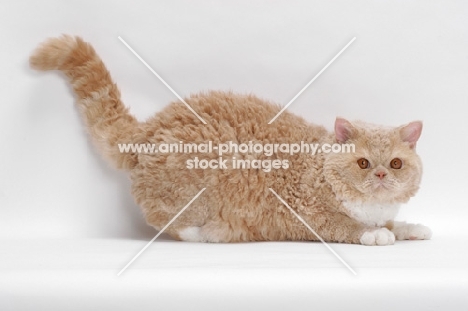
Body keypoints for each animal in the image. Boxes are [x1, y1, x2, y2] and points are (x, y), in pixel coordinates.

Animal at [29, 35, 432, 246]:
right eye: (363, 163)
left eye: (395, 163)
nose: (380, 175)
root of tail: (149, 128)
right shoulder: (311, 217)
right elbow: (351, 228)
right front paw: (376, 235)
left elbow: (395, 223)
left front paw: (410, 228)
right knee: (163, 218)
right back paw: (203, 232)